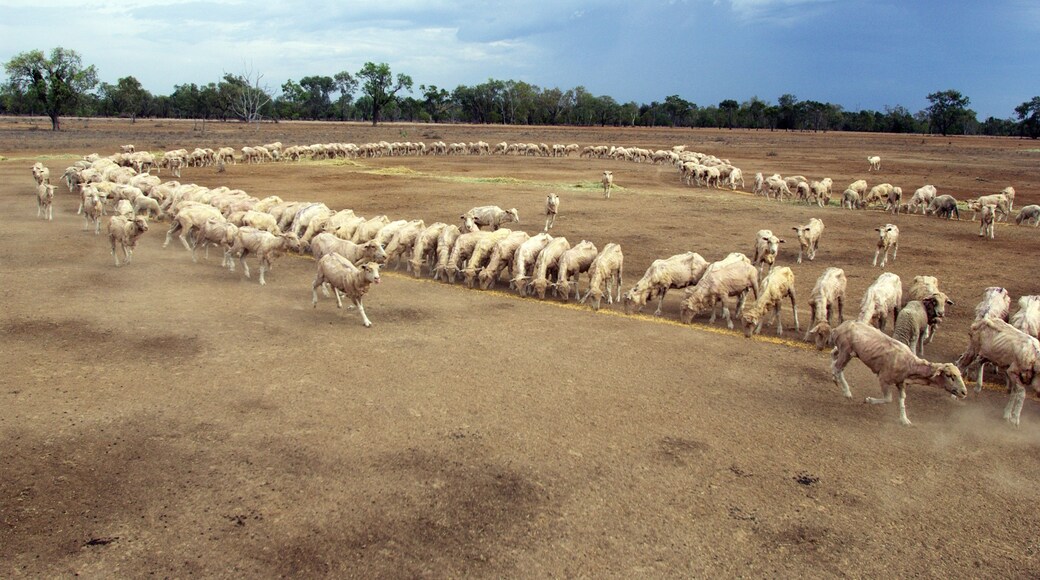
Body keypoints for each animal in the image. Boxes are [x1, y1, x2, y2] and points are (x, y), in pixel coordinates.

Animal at [827, 320, 965, 426]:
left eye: (960, 375)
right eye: (949, 376)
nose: (964, 392)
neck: (910, 364)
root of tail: (838, 328)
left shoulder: (901, 383)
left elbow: (902, 400)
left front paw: (904, 420)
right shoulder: (883, 378)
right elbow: (888, 399)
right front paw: (869, 400)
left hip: (846, 352)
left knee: (834, 357)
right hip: (846, 351)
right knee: (838, 367)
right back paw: (842, 387)